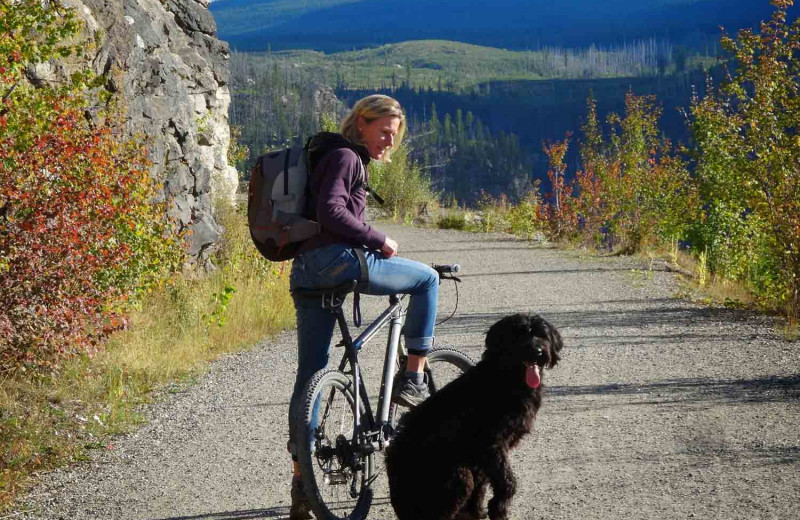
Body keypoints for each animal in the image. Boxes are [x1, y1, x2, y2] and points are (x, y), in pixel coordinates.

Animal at [386, 312, 564, 520]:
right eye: (519, 334)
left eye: (541, 334)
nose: (537, 352)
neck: (506, 376)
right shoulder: (492, 445)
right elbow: (507, 483)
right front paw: (498, 511)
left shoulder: (482, 456)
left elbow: (484, 485)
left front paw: (482, 511)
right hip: (459, 476)